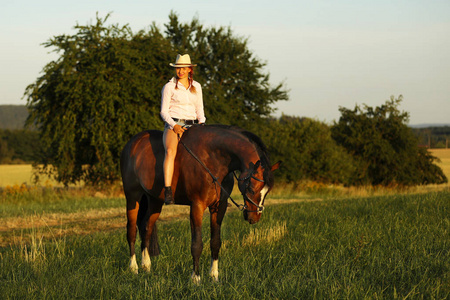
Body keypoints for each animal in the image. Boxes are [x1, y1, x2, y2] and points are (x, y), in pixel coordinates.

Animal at [121, 123, 280, 282]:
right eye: (252, 189)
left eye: (267, 191)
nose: (254, 218)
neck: (214, 159)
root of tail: (133, 143)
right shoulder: (197, 206)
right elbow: (197, 244)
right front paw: (195, 278)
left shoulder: (219, 207)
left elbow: (215, 242)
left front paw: (214, 276)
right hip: (132, 197)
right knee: (132, 231)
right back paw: (133, 268)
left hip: (155, 201)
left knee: (146, 227)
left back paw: (146, 266)